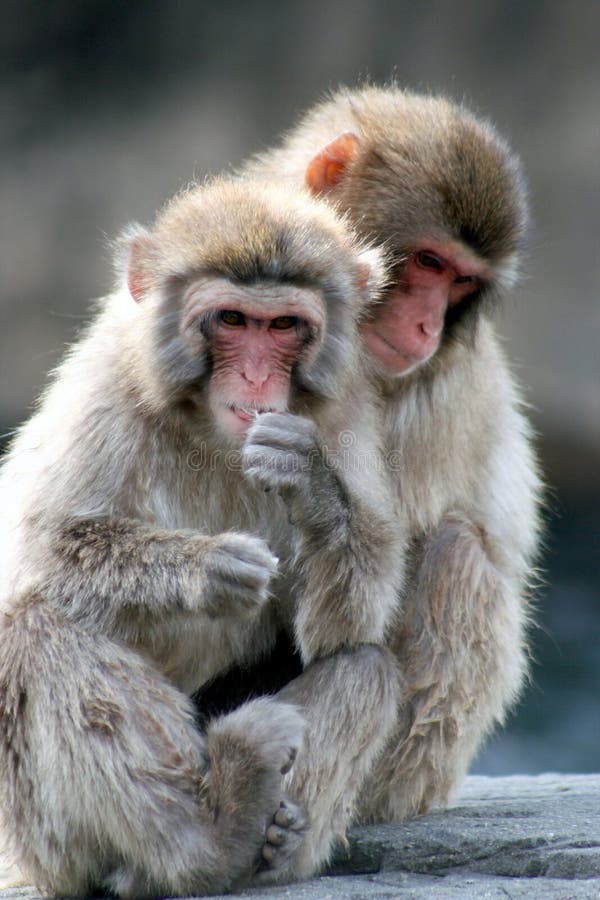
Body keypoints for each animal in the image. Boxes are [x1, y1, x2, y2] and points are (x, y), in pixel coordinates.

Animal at [0, 176, 405, 897]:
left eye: (283, 326)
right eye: (232, 321)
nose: (256, 378)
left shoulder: (347, 413)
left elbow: (344, 629)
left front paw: (310, 485)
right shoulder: (106, 383)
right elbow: (37, 556)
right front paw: (207, 566)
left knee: (369, 666)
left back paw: (272, 841)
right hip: (43, 845)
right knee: (36, 628)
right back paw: (210, 838)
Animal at [227, 84, 543, 884]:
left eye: (462, 282)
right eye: (428, 260)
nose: (429, 325)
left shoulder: (431, 392)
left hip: (418, 771)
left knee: (457, 554)